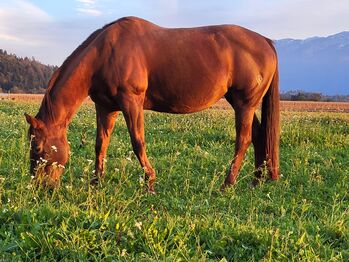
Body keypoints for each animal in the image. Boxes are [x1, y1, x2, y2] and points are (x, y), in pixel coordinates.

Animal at [23, 16, 280, 192]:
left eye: (38, 149)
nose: (40, 187)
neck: (105, 54)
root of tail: (266, 42)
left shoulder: (131, 102)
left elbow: (138, 142)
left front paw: (150, 182)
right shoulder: (106, 108)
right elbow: (100, 144)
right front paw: (96, 182)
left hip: (244, 104)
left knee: (243, 140)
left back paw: (228, 183)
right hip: (241, 103)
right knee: (259, 136)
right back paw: (255, 181)